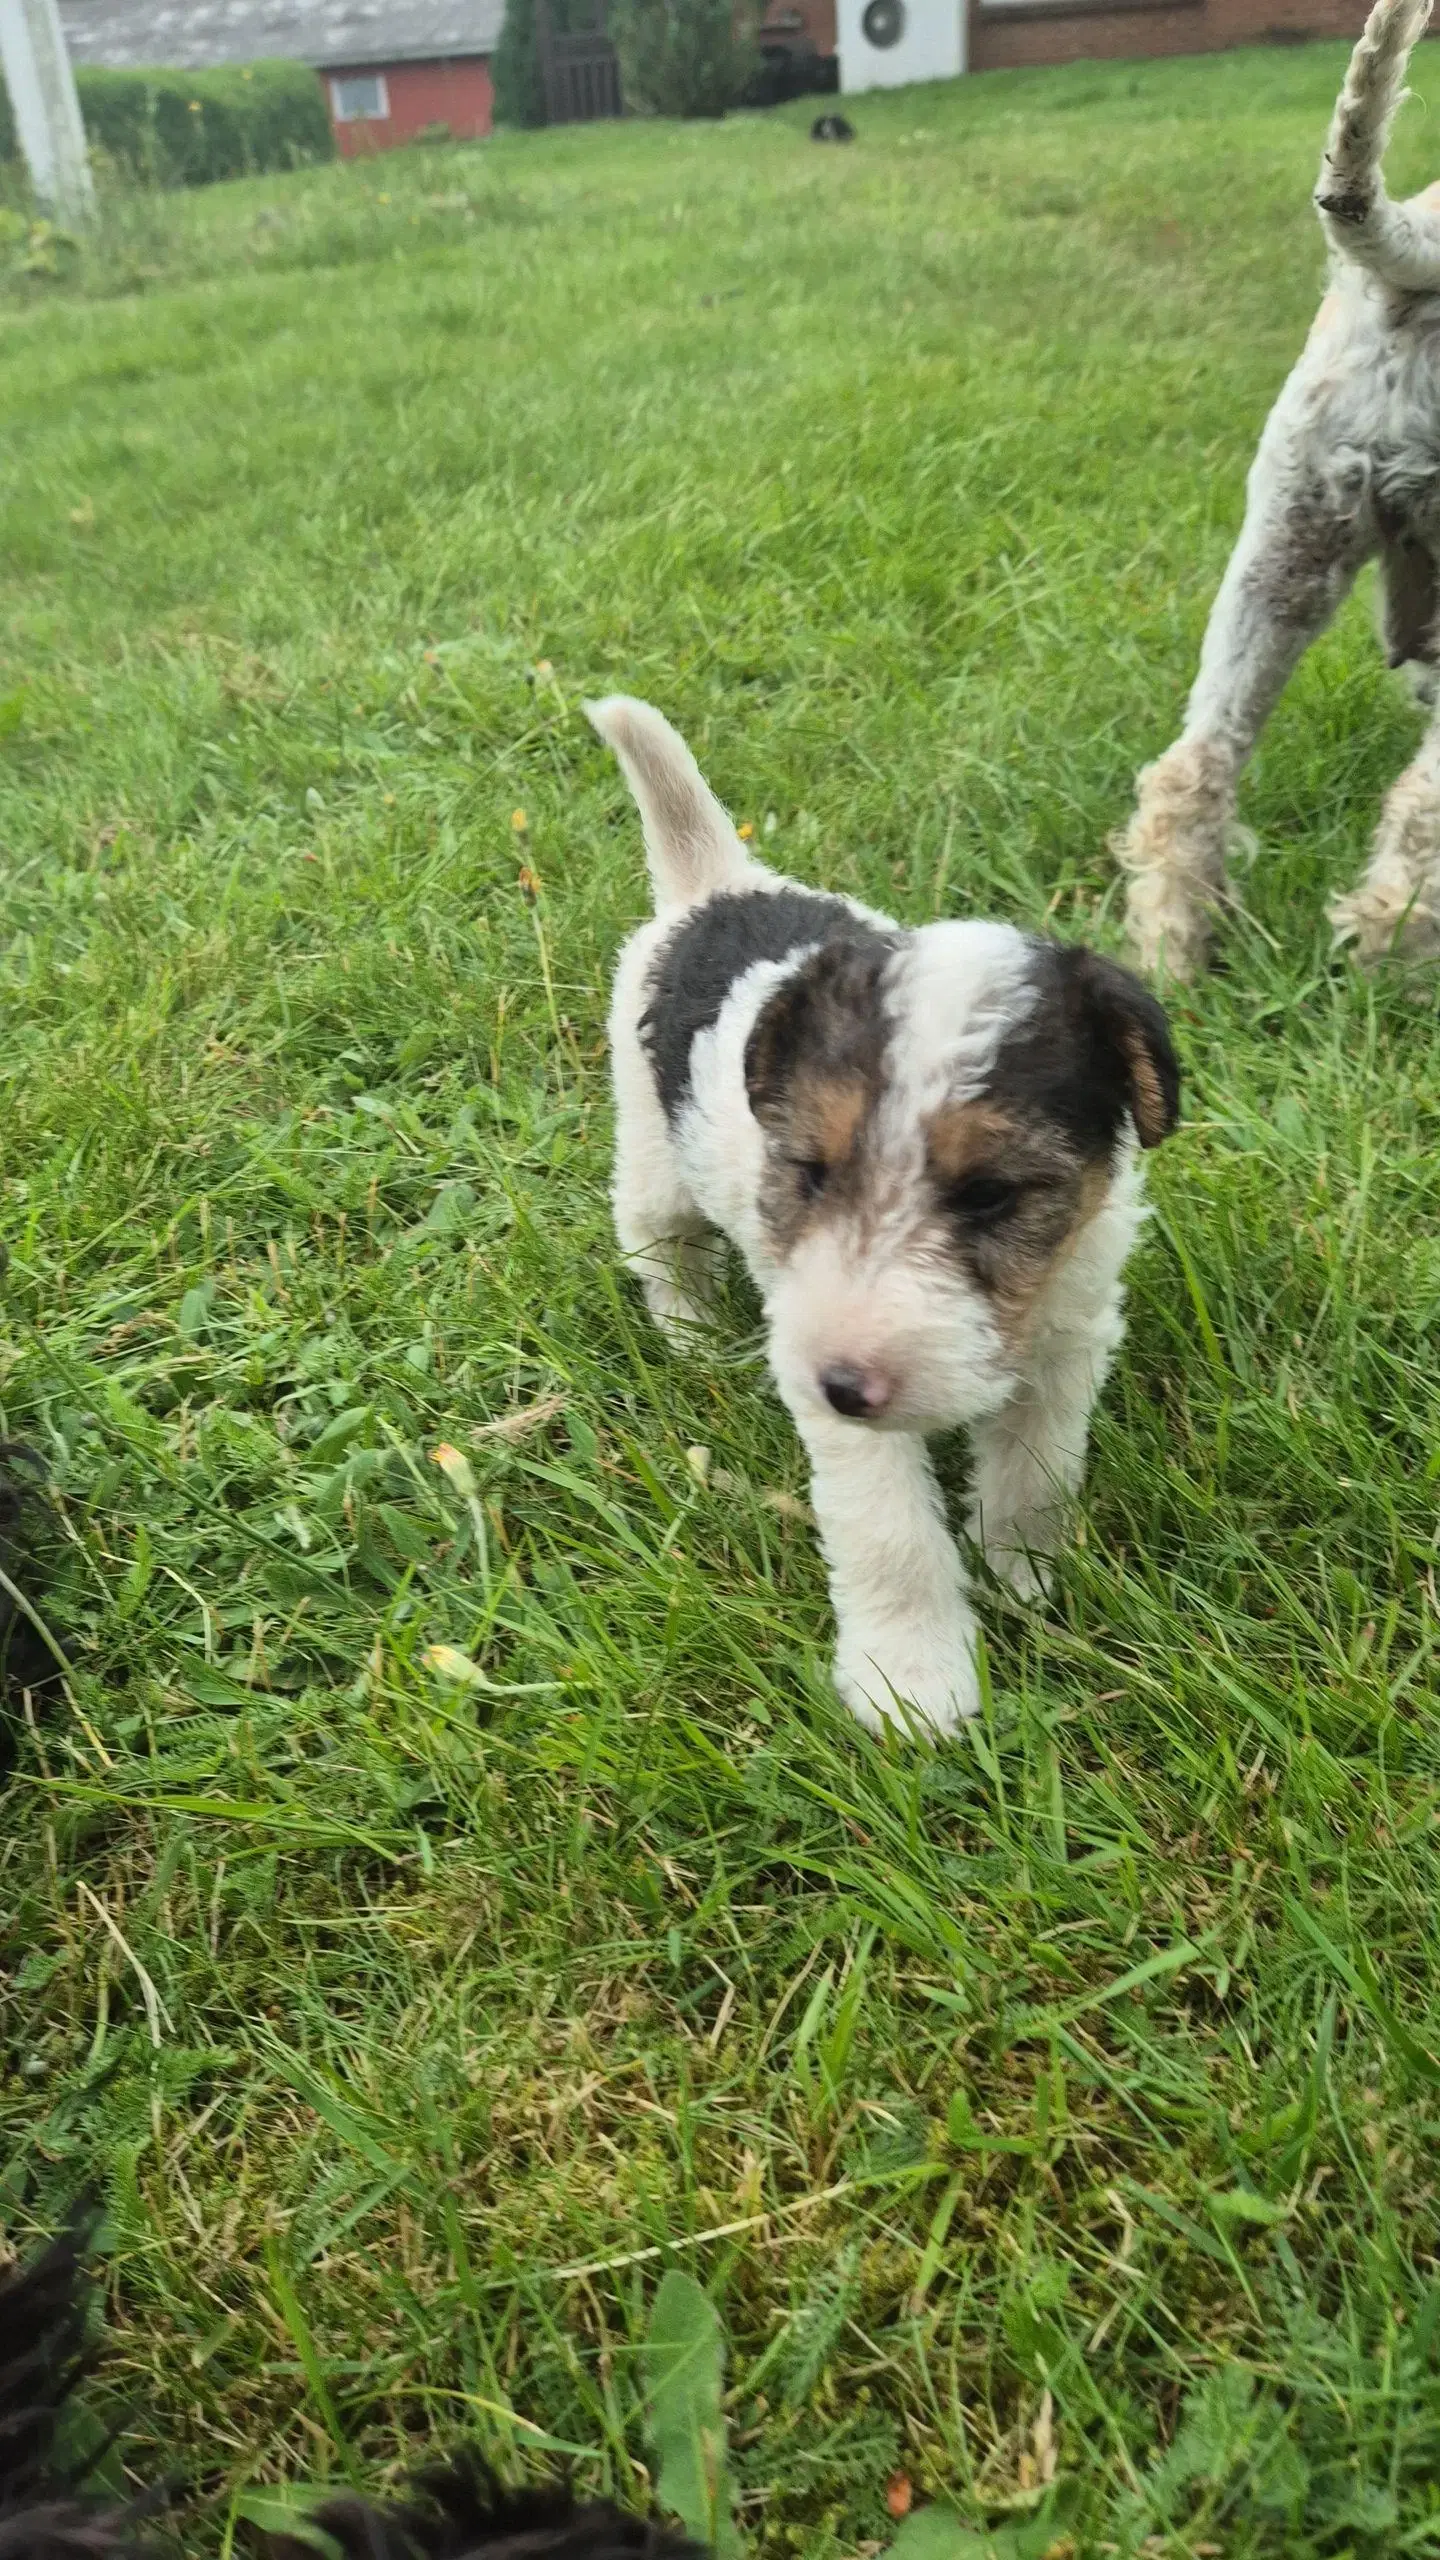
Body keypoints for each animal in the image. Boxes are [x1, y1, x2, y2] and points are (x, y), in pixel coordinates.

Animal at [586, 701, 1178, 1740]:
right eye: (811, 1171)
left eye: (991, 1192)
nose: (844, 1381)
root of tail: (717, 887)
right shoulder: (836, 1391)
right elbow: (889, 1529)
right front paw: (912, 1682)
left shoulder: (1067, 1336)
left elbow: (1037, 1474)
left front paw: (1023, 1577)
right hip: (653, 1154)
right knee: (661, 1249)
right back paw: (692, 1340)